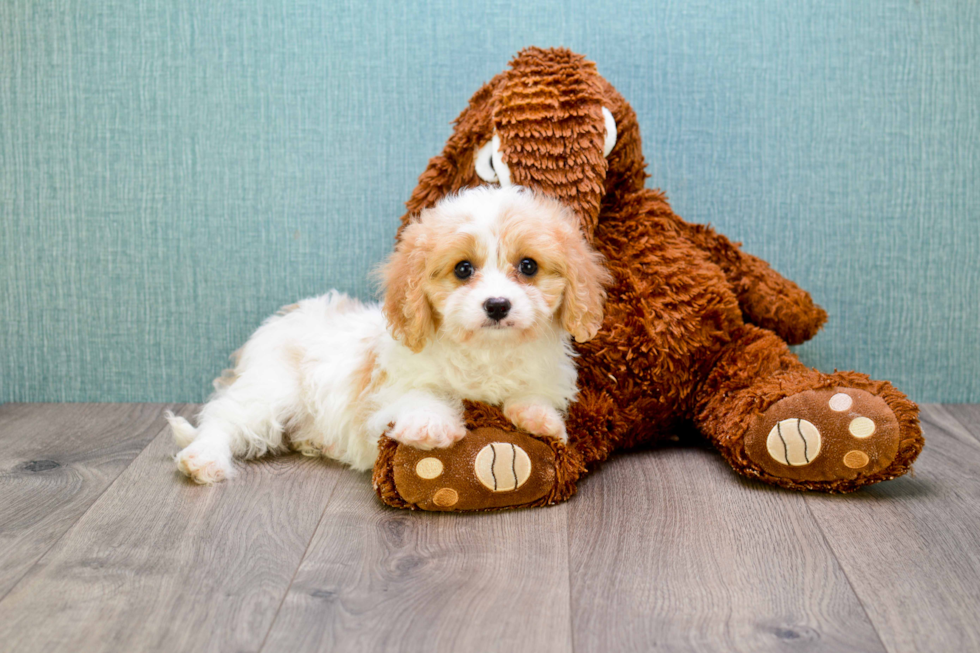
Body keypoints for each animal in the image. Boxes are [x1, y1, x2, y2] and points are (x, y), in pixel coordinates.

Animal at [169, 186, 612, 482]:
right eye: (463, 269)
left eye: (528, 266)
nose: (498, 305)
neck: (486, 351)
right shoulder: (389, 386)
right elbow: (420, 394)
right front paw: (432, 426)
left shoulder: (545, 375)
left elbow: (532, 393)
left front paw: (540, 418)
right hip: (271, 388)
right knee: (224, 419)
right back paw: (203, 459)